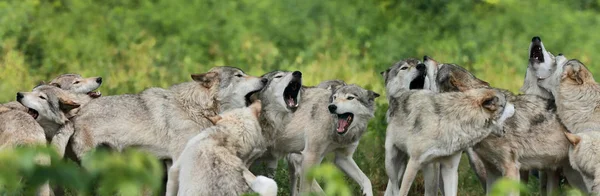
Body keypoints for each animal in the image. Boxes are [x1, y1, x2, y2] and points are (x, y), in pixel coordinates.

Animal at [68, 66, 264, 191]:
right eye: (239, 76)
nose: (264, 78)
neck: (196, 108)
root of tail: (76, 114)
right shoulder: (180, 159)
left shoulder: (172, 163)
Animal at [380, 59, 516, 196]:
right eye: (404, 68)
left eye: (418, 63)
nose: (422, 63)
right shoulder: (416, 163)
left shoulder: (446, 168)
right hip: (391, 161)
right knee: (394, 184)